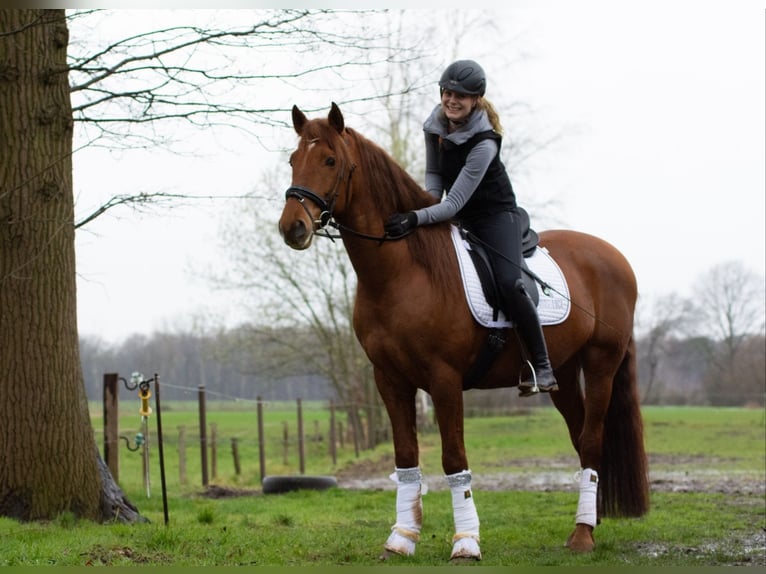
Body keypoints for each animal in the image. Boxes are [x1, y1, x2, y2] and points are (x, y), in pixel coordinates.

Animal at [278, 102, 649, 560]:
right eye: (293, 160)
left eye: (330, 161)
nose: (292, 227)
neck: (402, 271)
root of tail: (615, 257)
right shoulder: (390, 380)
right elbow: (406, 457)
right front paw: (402, 537)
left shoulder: (445, 380)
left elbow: (454, 460)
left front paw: (467, 542)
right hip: (563, 372)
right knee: (581, 441)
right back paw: (587, 525)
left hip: (601, 365)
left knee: (593, 441)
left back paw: (582, 536)